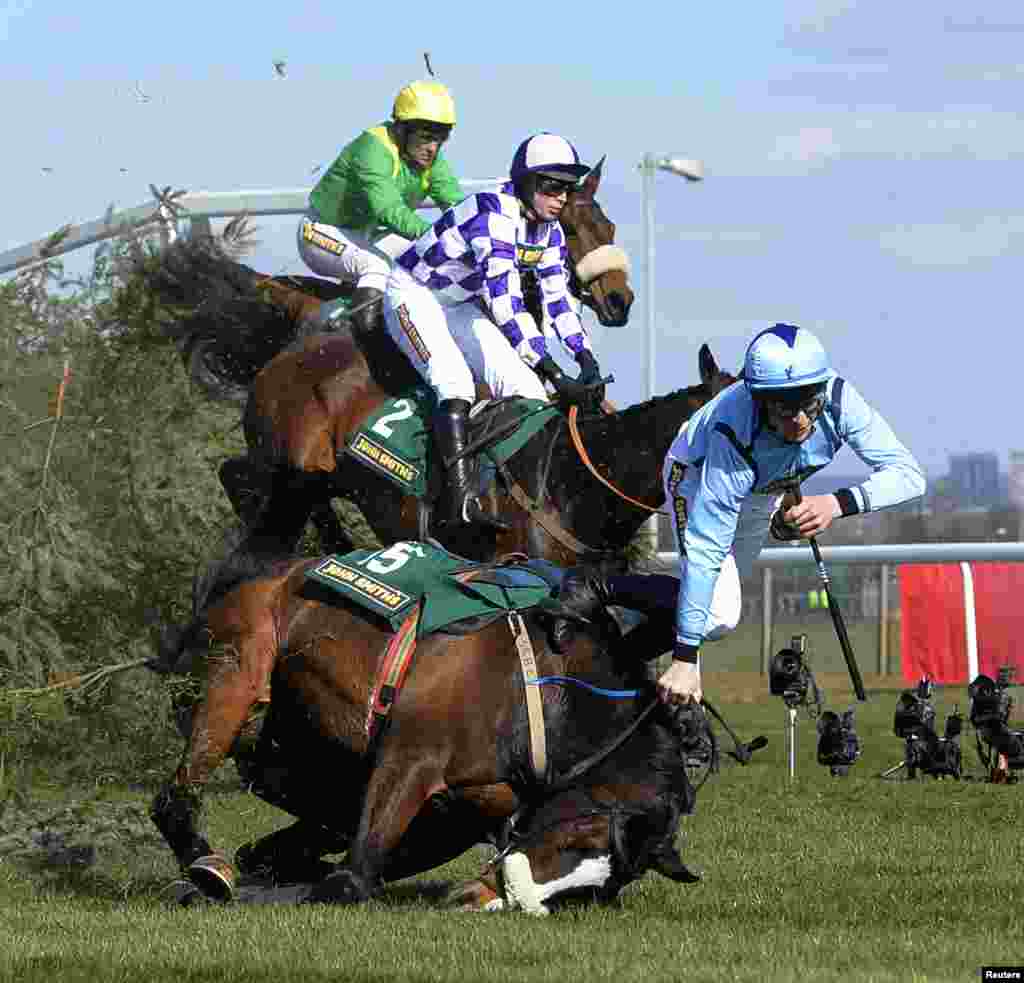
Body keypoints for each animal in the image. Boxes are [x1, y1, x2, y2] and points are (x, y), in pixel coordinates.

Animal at [151, 540, 708, 909]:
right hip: (233, 683)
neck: (547, 689)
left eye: (596, 889)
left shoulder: (466, 809)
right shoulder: (409, 757)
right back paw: (207, 868)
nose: (516, 899)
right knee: (173, 800)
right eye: (580, 839)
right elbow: (353, 878)